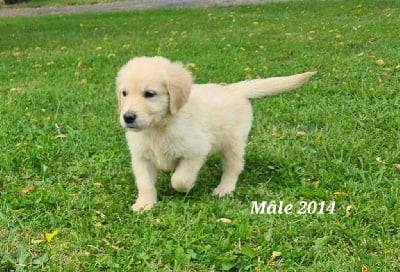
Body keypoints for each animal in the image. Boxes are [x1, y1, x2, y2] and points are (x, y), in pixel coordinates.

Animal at [115, 56, 316, 211]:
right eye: (124, 93)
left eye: (149, 94)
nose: (128, 117)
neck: (158, 128)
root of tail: (235, 88)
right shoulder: (141, 157)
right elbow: (144, 183)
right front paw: (144, 204)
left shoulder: (196, 151)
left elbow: (179, 179)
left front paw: (185, 188)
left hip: (233, 143)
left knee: (234, 167)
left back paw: (224, 188)